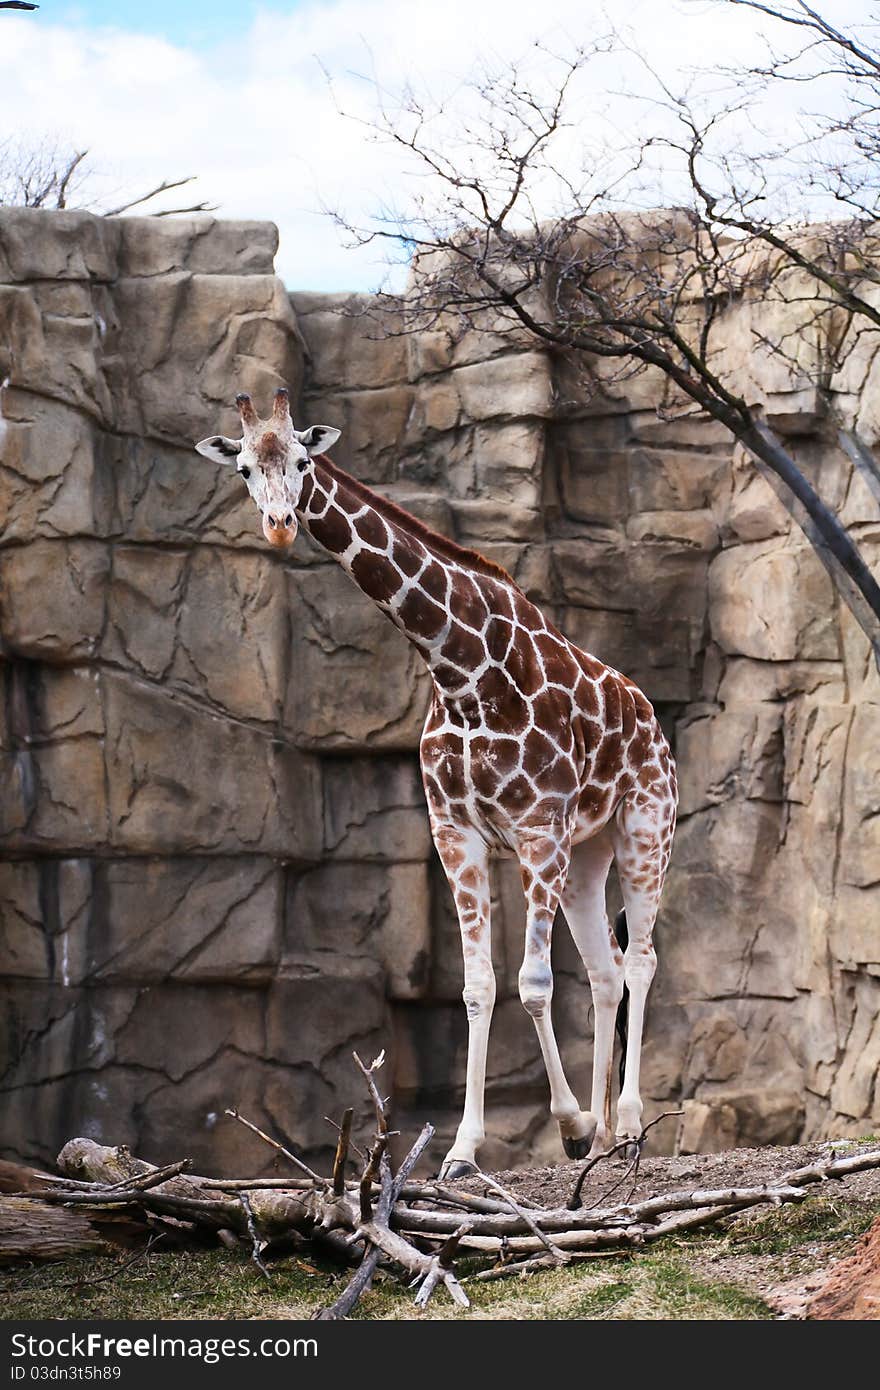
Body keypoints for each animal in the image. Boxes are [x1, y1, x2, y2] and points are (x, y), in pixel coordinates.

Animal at [196, 389, 675, 1173]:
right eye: (243, 468)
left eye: (302, 459)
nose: (279, 524)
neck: (460, 669)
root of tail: (650, 716)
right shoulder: (459, 833)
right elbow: (479, 987)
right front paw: (465, 1149)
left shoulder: (537, 829)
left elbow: (533, 983)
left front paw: (568, 1124)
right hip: (587, 853)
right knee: (605, 970)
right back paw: (605, 1140)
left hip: (643, 826)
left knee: (640, 959)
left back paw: (627, 1127)